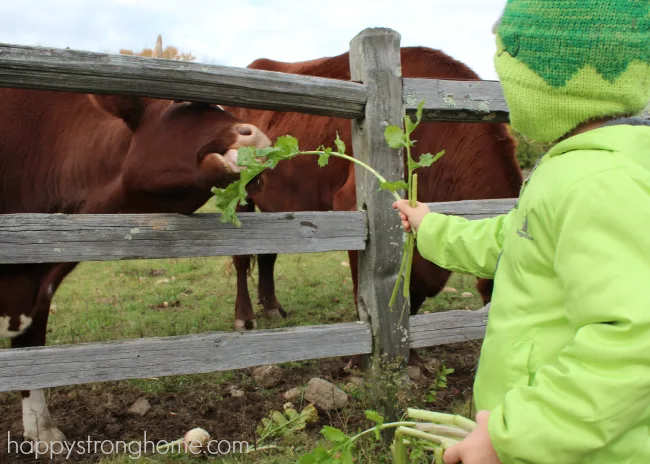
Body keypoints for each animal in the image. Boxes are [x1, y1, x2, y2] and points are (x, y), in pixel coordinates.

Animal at [223, 48, 520, 370]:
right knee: (242, 258)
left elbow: (412, 298)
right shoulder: (354, 206)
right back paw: (244, 317)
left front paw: (412, 358)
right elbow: (364, 294)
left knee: (268, 254)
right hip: (239, 192)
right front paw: (359, 360)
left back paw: (272, 307)